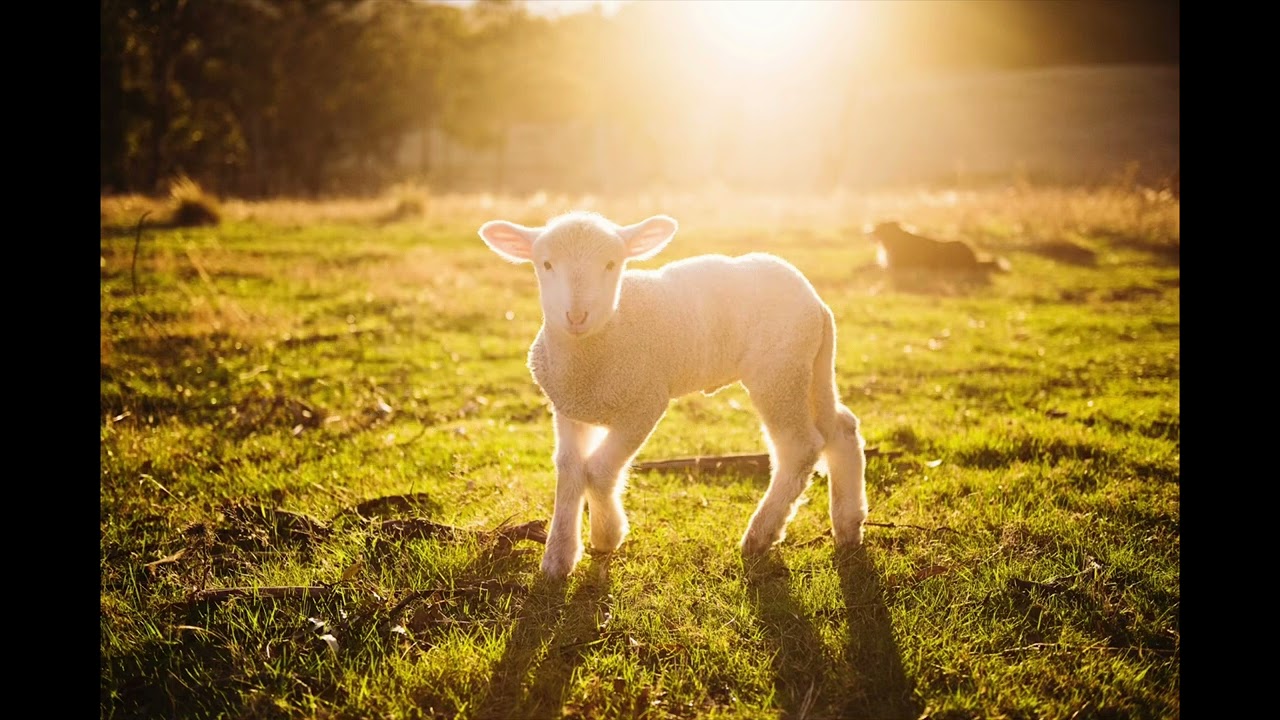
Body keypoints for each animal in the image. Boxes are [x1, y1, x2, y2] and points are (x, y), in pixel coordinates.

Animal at [478, 211, 868, 578]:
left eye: (611, 264)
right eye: (545, 264)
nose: (576, 315)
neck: (598, 346)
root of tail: (816, 301)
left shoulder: (644, 404)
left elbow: (599, 470)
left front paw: (607, 535)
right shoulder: (569, 408)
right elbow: (570, 470)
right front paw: (559, 557)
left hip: (779, 373)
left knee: (799, 448)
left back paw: (760, 535)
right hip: (812, 367)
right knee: (841, 428)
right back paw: (849, 525)